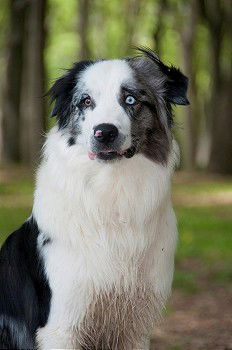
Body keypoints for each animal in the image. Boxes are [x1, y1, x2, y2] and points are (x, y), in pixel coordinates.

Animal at [0, 47, 188, 348]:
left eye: (130, 99)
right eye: (86, 101)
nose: (105, 132)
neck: (111, 191)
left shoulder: (134, 327)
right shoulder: (60, 327)